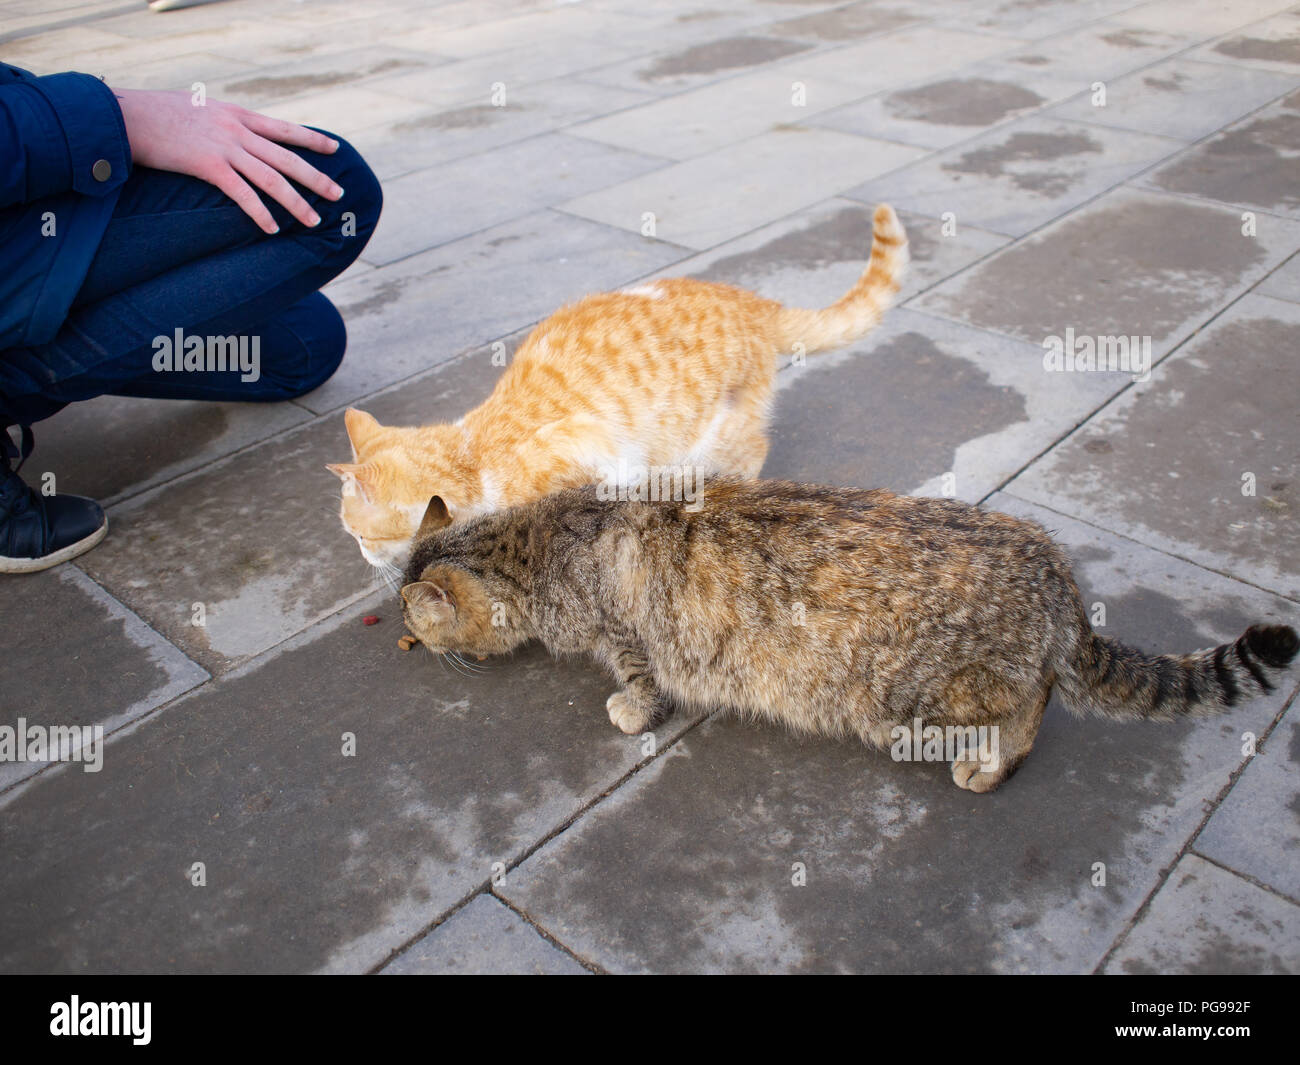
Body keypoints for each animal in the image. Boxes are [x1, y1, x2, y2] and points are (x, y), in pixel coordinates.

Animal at [330, 205, 909, 579]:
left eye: (360, 537)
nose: (362, 559)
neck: (474, 459)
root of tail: (753, 302)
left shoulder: (602, 455)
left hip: (708, 439)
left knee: (748, 452)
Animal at [400, 481, 1294, 790]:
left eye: (410, 618)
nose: (404, 644)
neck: (538, 539)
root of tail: (1057, 575)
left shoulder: (628, 639)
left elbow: (642, 685)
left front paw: (627, 709)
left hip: (919, 698)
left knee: (1031, 701)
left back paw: (992, 763)